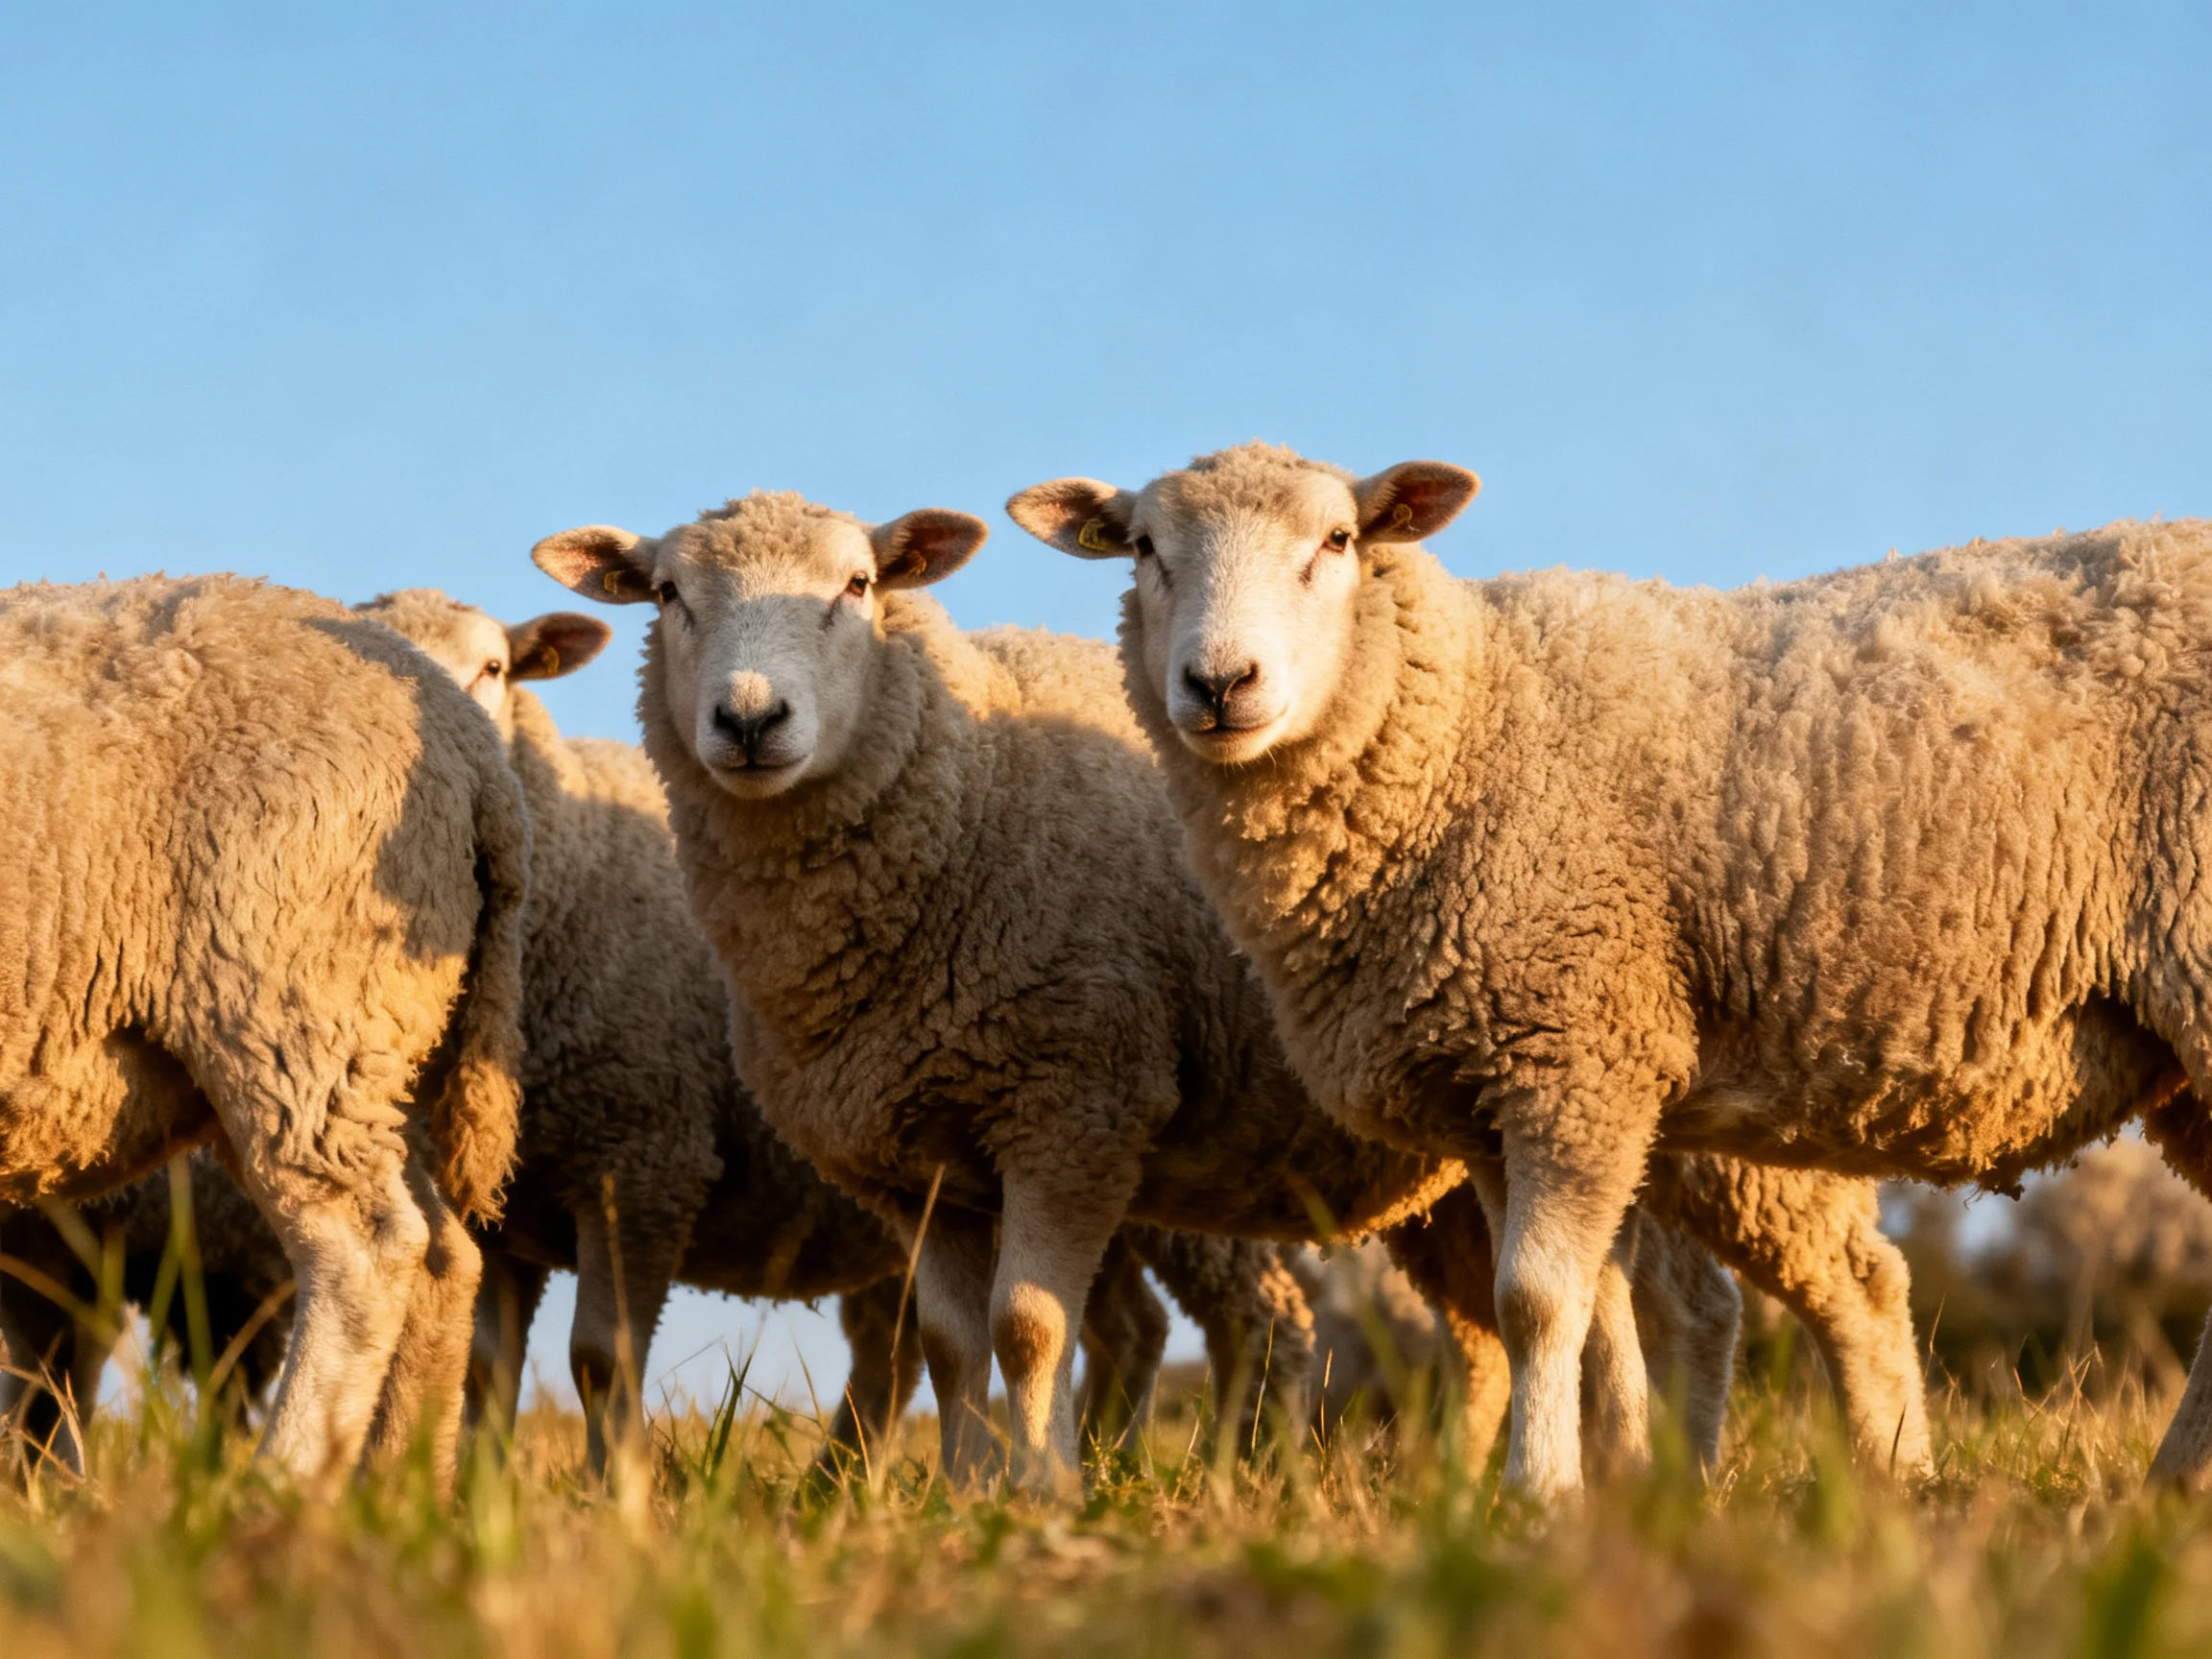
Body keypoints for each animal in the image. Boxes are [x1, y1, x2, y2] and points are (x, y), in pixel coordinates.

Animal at [0, 575, 526, 1492]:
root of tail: (474, 756)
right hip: (364, 1050)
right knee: (443, 1257)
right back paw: (400, 1496)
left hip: (290, 1003)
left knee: (363, 1251)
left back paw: (279, 1488)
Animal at [529, 492, 1839, 1497]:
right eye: (666, 596)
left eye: (857, 584)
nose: (750, 718)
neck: (965, 794)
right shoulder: (916, 1155)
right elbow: (950, 1342)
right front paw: (960, 1494)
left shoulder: (1069, 1101)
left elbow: (1024, 1325)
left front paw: (1040, 1494)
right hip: (1469, 1169)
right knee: (1516, 1324)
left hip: (1663, 1118)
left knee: (1736, 1302)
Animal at [1006, 443, 2212, 1502]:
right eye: (1144, 548)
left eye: (1337, 540)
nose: (1219, 682)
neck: (1465, 725)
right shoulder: (1495, 1093)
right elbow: (1594, 1317)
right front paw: (1623, 1488)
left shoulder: (1573, 1052)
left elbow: (1538, 1303)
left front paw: (1539, 1494)